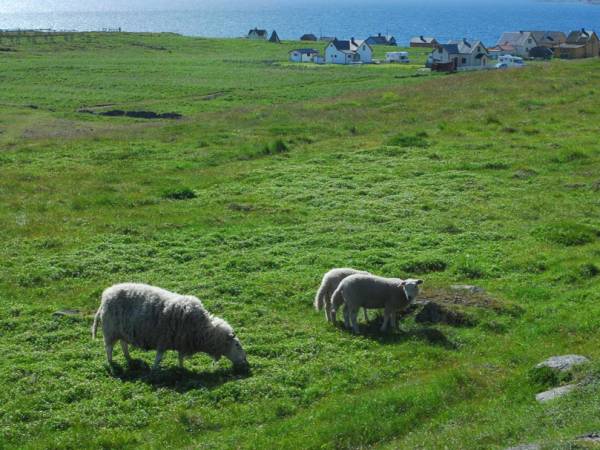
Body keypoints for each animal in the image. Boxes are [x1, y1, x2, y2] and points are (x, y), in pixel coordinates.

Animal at [91, 284, 248, 370]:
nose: (246, 361)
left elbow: (180, 357)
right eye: (237, 345)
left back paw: (128, 358)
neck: (202, 329)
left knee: (123, 344)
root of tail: (105, 297)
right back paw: (111, 362)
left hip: (122, 331)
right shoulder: (163, 340)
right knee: (109, 348)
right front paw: (154, 369)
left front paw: (181, 368)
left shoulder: (182, 342)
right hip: (110, 331)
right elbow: (159, 357)